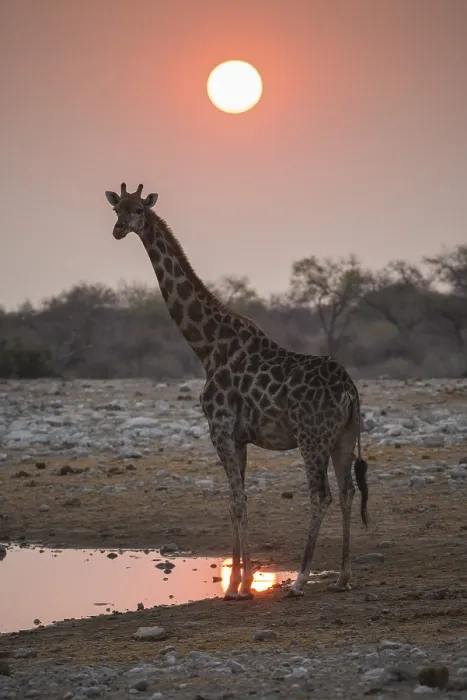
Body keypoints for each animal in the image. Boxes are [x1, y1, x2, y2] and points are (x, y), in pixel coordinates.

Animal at [105, 183, 369, 601]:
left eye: (138, 210)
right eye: (118, 209)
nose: (117, 230)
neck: (206, 346)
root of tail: (350, 392)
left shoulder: (220, 428)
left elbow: (237, 501)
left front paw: (239, 587)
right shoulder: (240, 437)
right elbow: (237, 501)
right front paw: (237, 582)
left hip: (312, 437)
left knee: (321, 495)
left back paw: (300, 579)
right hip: (344, 436)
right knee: (347, 493)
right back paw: (342, 577)